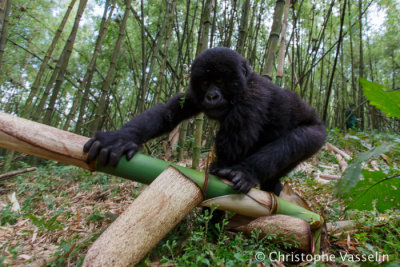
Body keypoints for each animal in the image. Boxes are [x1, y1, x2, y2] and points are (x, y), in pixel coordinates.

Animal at [83, 47, 324, 195]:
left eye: (220, 80)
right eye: (206, 82)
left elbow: (231, 154)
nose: (212, 96)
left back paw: (248, 173)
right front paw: (119, 140)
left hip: (317, 133)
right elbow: (168, 114)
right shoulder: (193, 92)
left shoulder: (252, 99)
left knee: (293, 142)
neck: (244, 84)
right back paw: (271, 184)